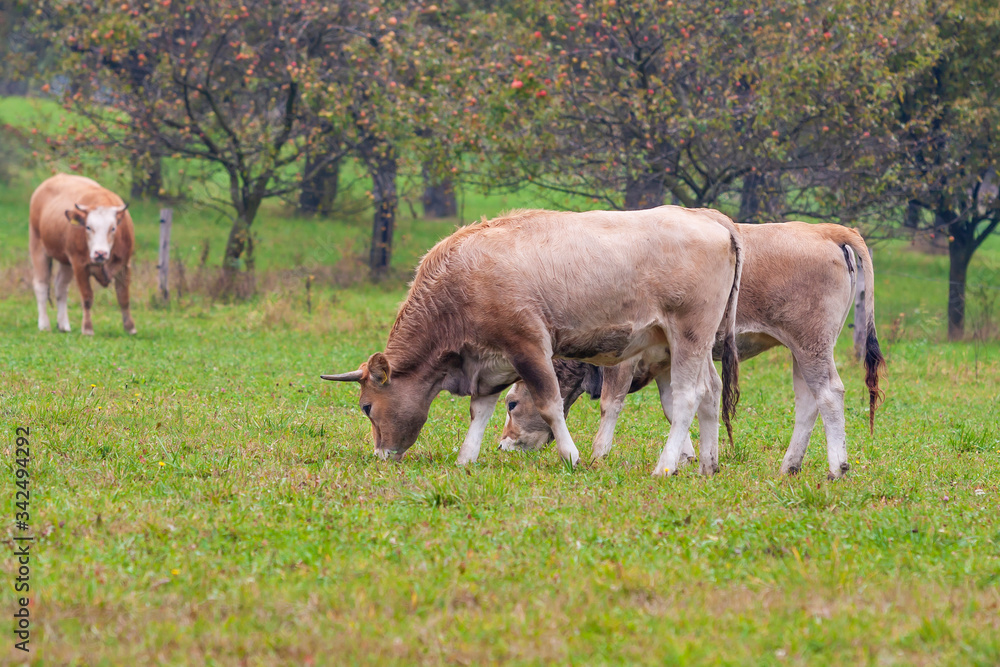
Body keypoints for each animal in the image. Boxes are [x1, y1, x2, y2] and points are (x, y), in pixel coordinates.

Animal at [29, 174, 137, 336]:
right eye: (88, 227)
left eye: (113, 228)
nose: (100, 253)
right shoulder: (79, 265)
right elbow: (87, 298)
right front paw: (87, 328)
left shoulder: (125, 265)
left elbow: (124, 297)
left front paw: (130, 327)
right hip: (38, 247)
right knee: (41, 285)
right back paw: (44, 325)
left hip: (66, 260)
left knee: (61, 286)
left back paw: (63, 325)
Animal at [322, 206, 743, 476]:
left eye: (366, 407)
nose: (380, 454)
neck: (461, 279)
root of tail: (710, 218)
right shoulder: (487, 360)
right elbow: (480, 411)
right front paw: (465, 458)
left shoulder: (528, 346)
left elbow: (549, 404)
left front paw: (572, 457)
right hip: (685, 344)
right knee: (710, 392)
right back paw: (707, 464)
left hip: (689, 333)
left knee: (688, 396)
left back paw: (665, 466)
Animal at [499, 222, 886, 480]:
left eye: (511, 403)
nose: (503, 444)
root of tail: (825, 230)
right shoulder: (666, 361)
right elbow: (674, 407)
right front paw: (687, 457)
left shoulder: (626, 360)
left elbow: (613, 404)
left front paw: (599, 454)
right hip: (801, 349)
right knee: (808, 402)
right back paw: (789, 466)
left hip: (811, 344)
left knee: (830, 394)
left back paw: (837, 468)